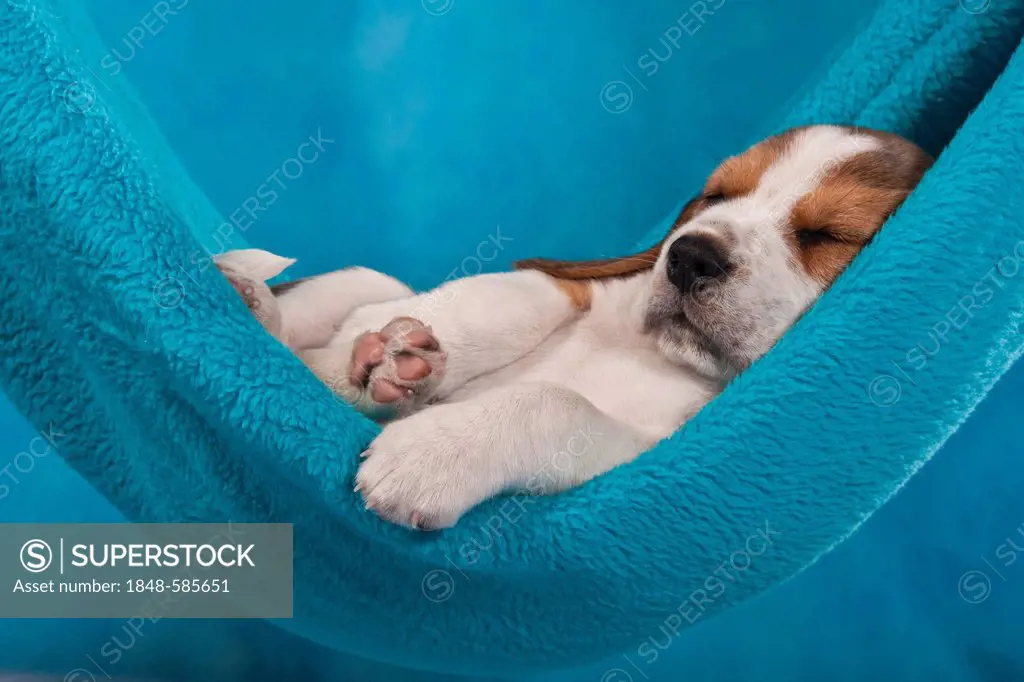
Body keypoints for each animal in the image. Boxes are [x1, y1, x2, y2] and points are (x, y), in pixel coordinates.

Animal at [218, 124, 937, 528]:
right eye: (716, 196)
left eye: (829, 235)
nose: (689, 257)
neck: (661, 357)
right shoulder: (574, 289)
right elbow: (524, 296)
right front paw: (379, 360)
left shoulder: (647, 458)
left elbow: (559, 403)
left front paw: (433, 450)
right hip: (366, 280)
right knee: (367, 286)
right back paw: (261, 303)